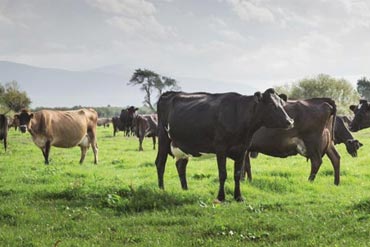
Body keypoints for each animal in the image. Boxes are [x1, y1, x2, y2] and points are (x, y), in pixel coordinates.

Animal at [155, 88, 294, 202]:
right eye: (271, 104)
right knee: (160, 163)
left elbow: (237, 174)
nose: (290, 121)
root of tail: (169, 93)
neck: (239, 115)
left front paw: (238, 197)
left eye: (282, 103)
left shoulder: (242, 149)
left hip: (182, 146)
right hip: (163, 136)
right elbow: (223, 174)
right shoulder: (221, 148)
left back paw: (185, 190)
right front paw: (220, 198)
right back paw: (161, 190)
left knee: (180, 165)